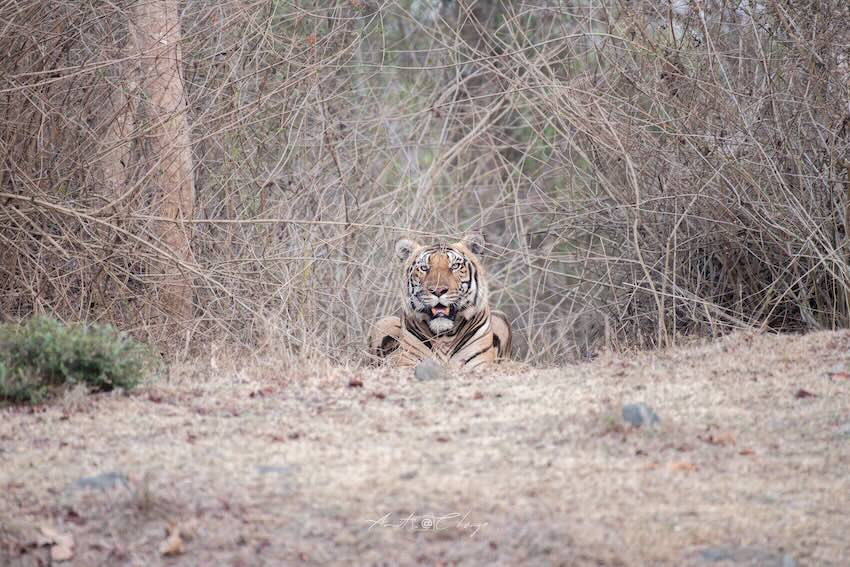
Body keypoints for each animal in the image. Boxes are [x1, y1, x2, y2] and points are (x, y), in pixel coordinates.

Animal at [366, 234, 510, 370]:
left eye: (455, 266)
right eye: (424, 268)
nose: (438, 290)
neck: (445, 337)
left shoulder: (479, 364)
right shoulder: (407, 362)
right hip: (383, 322)